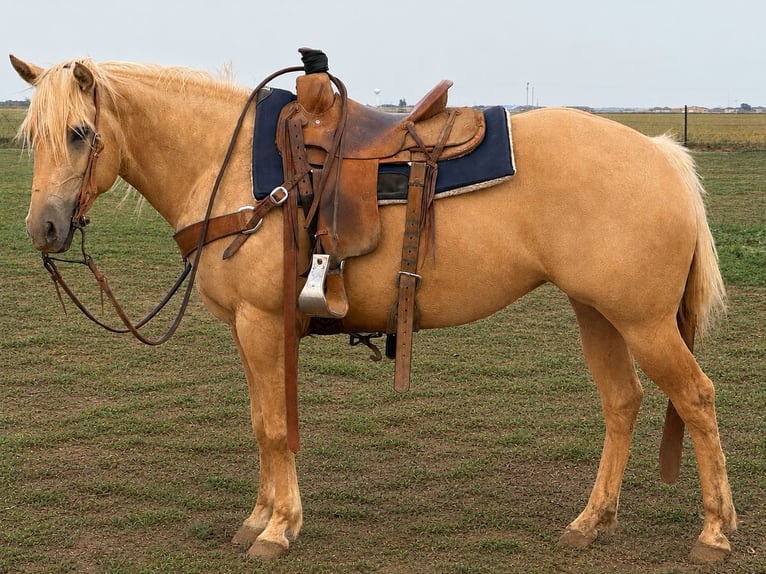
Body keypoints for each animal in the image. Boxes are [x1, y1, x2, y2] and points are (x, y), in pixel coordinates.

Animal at [10, 53, 736, 563]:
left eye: (80, 133)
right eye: (32, 137)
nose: (43, 229)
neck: (230, 165)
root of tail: (660, 154)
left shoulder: (261, 322)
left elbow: (275, 427)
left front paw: (278, 529)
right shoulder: (251, 330)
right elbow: (261, 422)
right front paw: (260, 518)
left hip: (642, 323)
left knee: (696, 399)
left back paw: (713, 532)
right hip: (598, 313)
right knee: (622, 403)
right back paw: (591, 523)